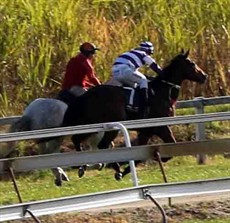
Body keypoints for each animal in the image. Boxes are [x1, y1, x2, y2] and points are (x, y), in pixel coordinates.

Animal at [60, 50, 208, 179]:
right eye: (192, 63)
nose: (204, 76)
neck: (162, 91)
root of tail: (85, 96)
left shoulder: (146, 131)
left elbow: (139, 154)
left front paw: (126, 169)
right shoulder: (160, 127)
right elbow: (170, 148)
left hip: (91, 124)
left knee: (77, 139)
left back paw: (84, 167)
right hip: (109, 125)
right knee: (101, 144)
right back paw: (111, 167)